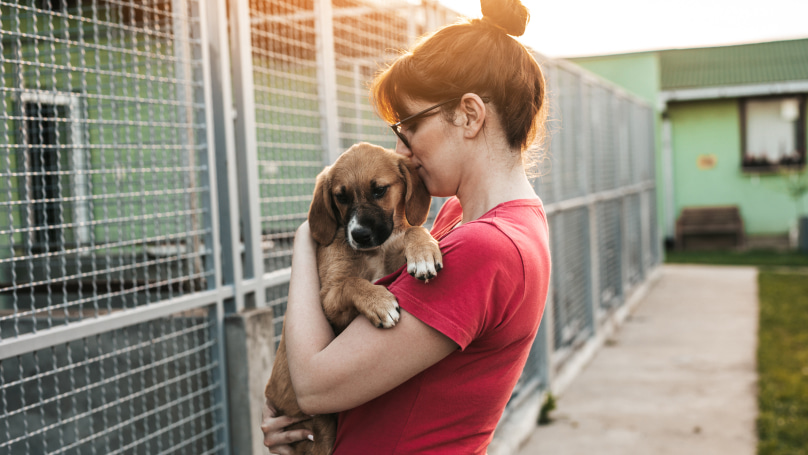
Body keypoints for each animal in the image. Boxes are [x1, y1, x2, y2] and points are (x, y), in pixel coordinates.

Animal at [264, 143, 442, 455]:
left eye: (379, 190)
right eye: (341, 197)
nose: (359, 234)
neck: (374, 252)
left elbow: (412, 228)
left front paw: (423, 251)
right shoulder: (329, 300)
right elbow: (352, 282)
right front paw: (379, 303)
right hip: (319, 430)